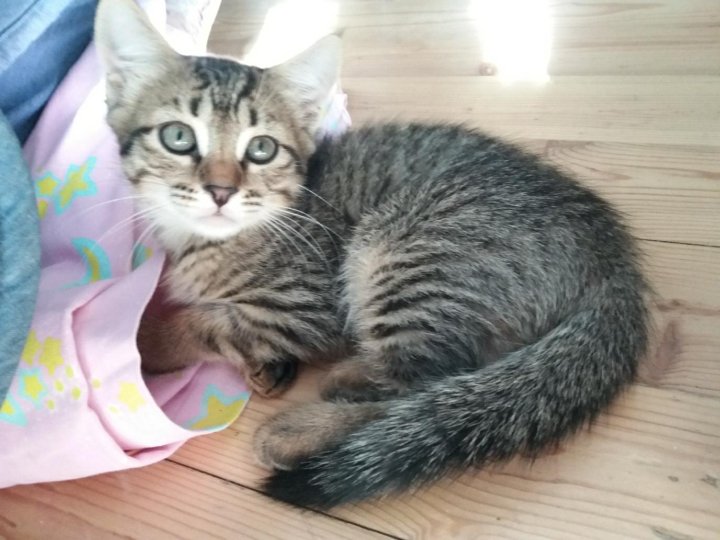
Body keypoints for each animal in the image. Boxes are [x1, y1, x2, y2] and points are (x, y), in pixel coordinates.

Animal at [96, 0, 650, 509]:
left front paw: (141, 341)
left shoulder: (303, 306)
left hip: (406, 250)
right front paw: (269, 370)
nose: (220, 191)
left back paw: (304, 424)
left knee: (425, 386)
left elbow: (205, 324)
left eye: (261, 149)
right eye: (178, 136)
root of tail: (613, 255)